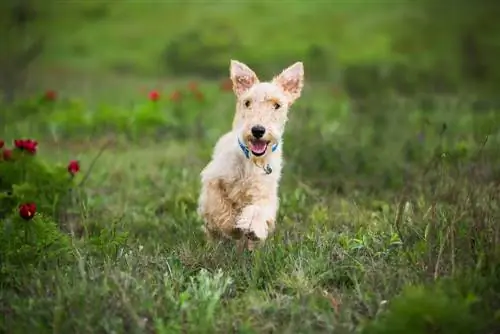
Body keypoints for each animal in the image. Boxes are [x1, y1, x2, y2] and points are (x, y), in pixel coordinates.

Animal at [197, 58, 302, 249]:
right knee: (211, 228)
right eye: (247, 103)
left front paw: (252, 229)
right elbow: (219, 206)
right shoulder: (212, 180)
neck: (250, 161)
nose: (258, 130)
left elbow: (257, 211)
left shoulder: (263, 193)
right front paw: (232, 227)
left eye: (277, 105)